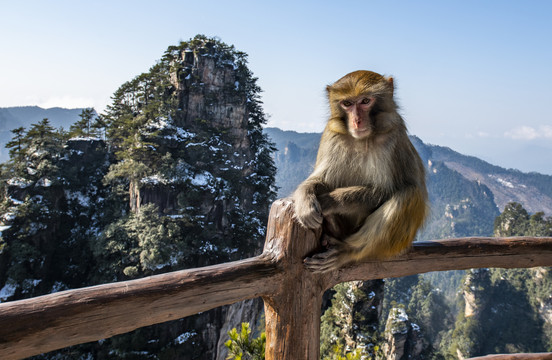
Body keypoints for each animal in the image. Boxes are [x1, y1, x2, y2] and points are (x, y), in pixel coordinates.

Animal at [292, 70, 430, 272]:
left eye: (365, 101)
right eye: (347, 104)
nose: (356, 121)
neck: (361, 139)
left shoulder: (392, 140)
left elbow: (385, 190)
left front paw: (328, 201)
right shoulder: (332, 136)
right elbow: (322, 180)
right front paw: (304, 199)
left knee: (410, 194)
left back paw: (347, 251)